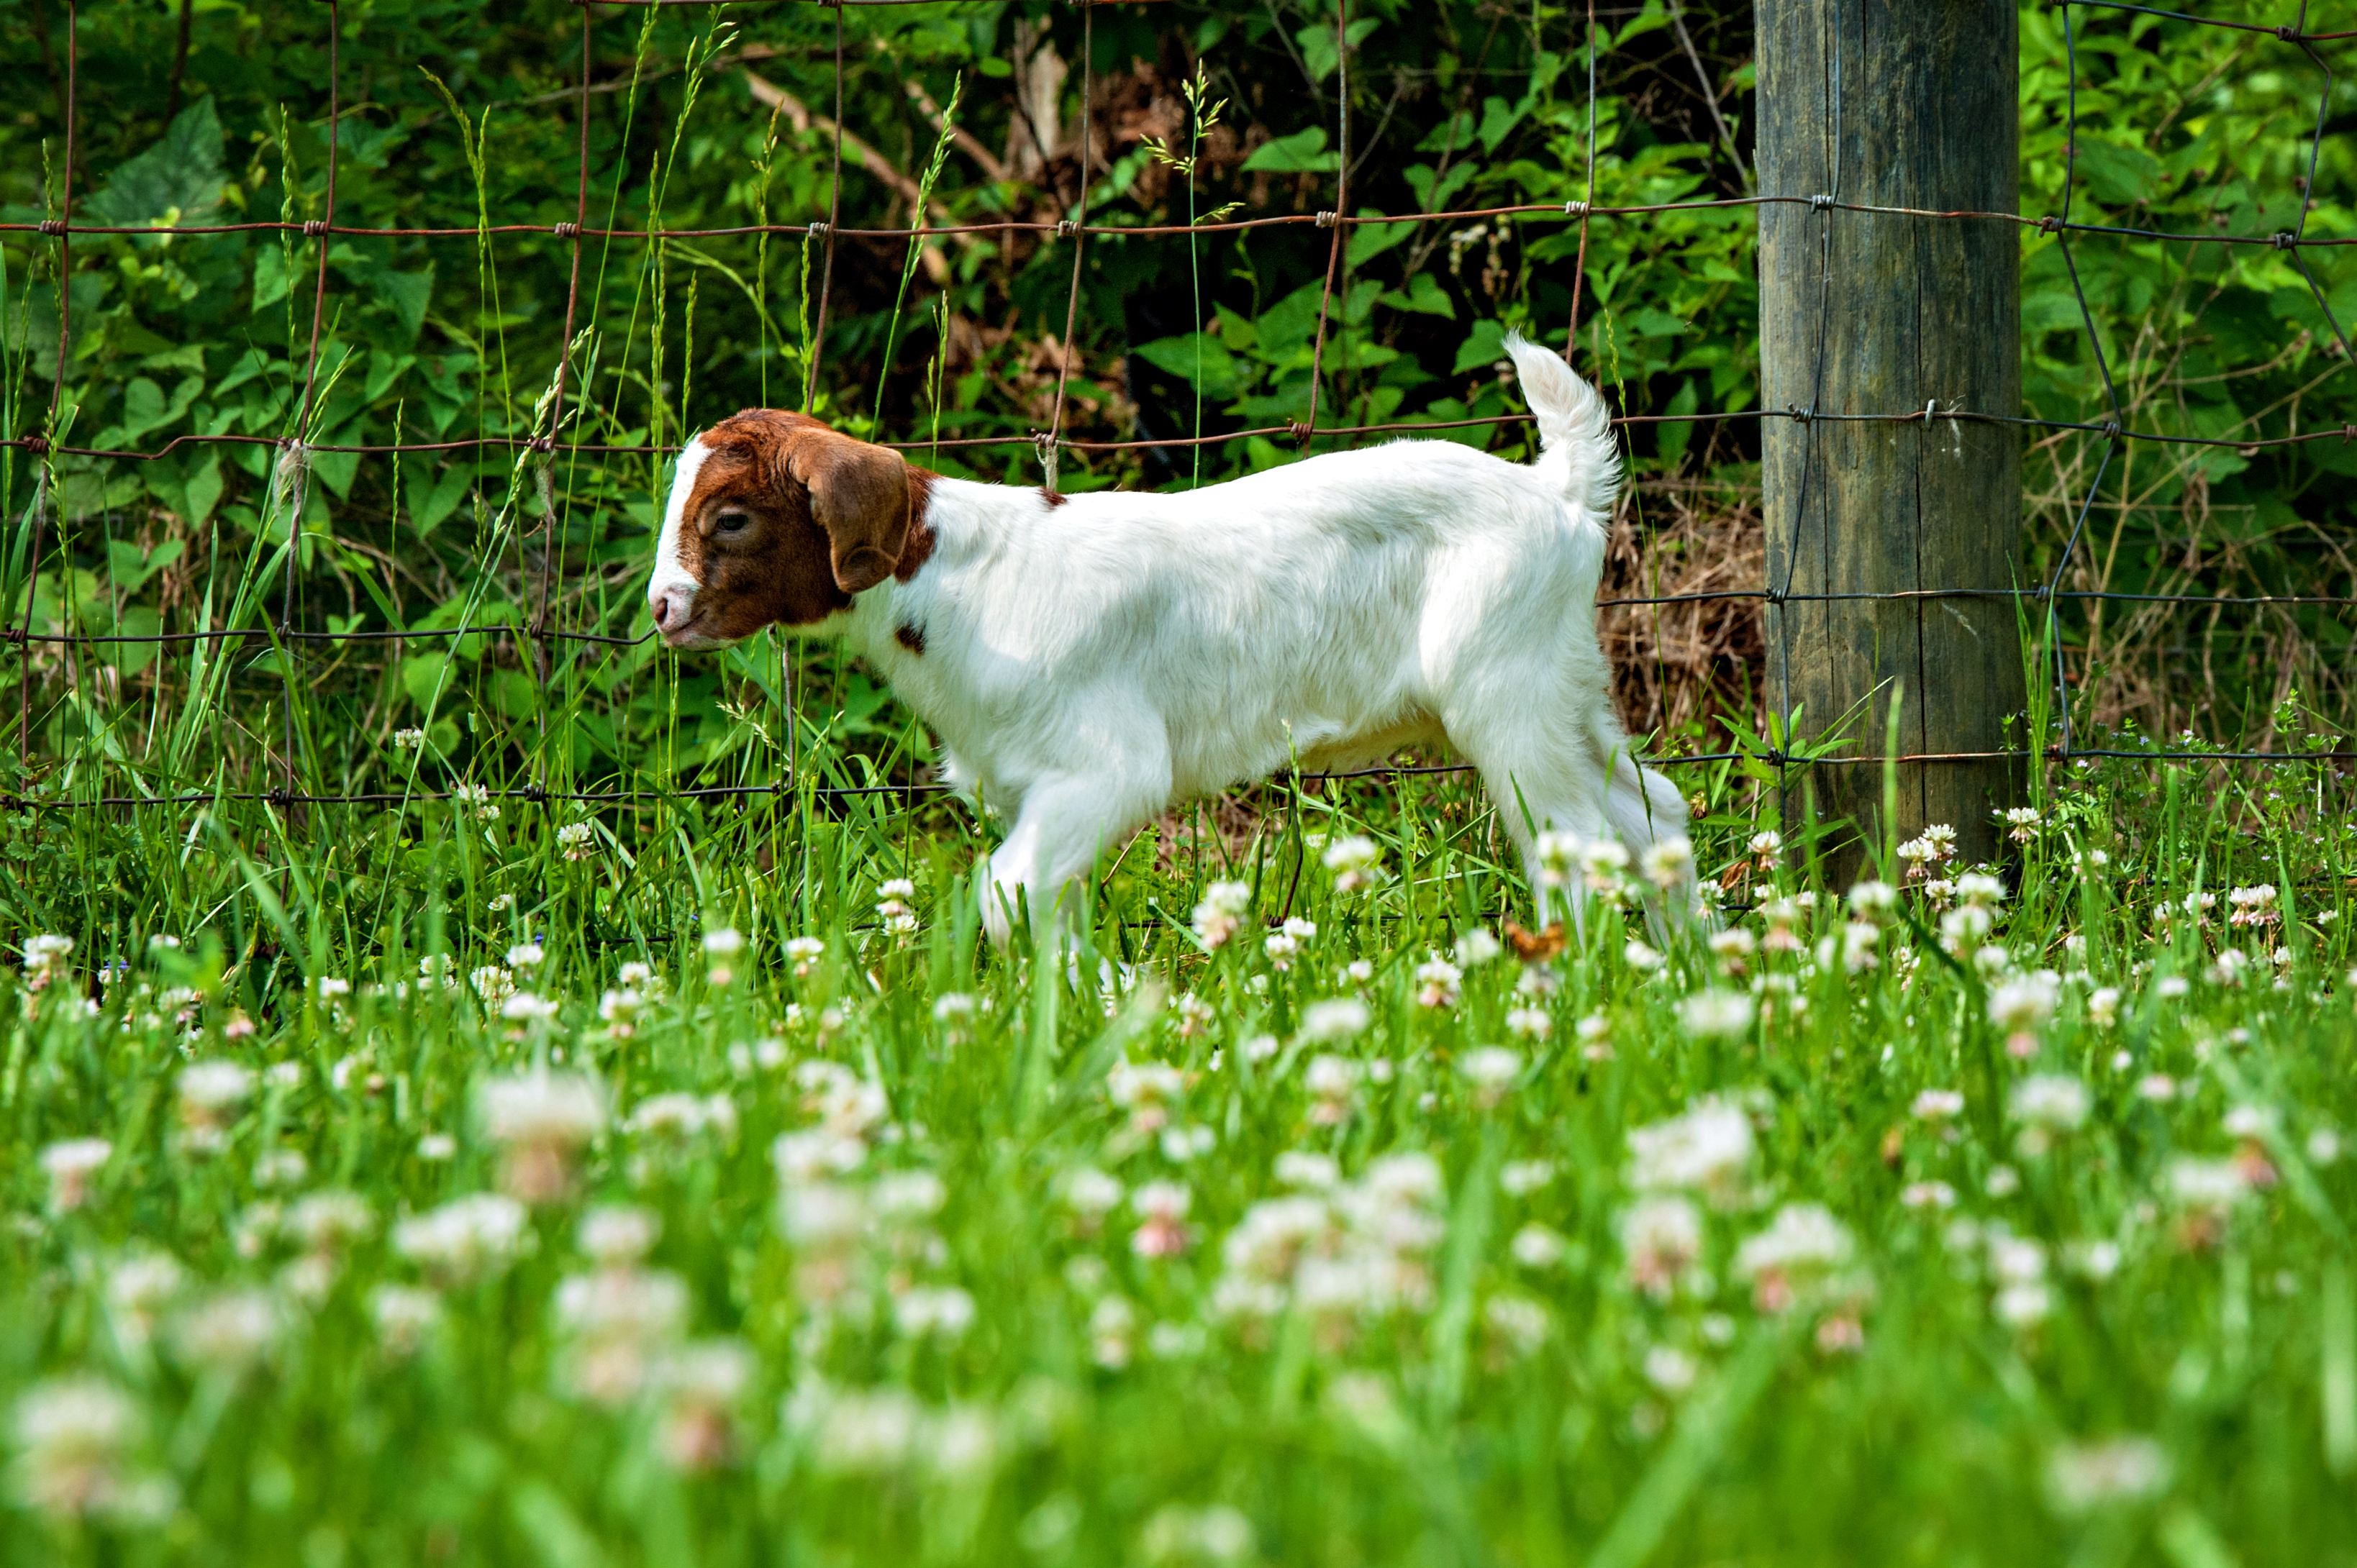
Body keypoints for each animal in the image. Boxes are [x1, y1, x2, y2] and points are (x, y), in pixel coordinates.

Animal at [650, 329, 1697, 943]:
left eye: (732, 518)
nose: (662, 607)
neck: (955, 581)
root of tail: (1558, 491)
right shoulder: (1042, 789)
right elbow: (1047, 909)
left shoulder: (1105, 767)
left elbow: (1005, 894)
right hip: (1566, 686)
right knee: (1652, 815)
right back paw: (1690, 970)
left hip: (1506, 691)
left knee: (1578, 845)